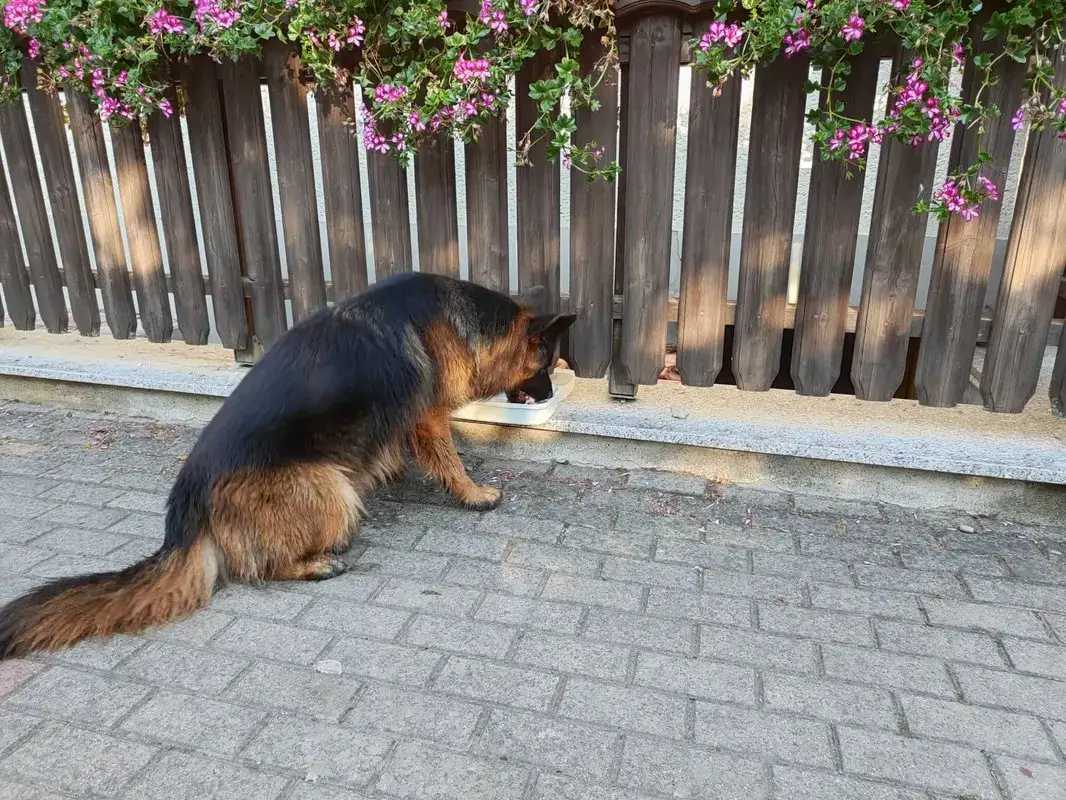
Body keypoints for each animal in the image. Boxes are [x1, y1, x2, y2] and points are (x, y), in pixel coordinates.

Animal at [0, 273, 575, 658]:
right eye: (546, 363)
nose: (550, 392)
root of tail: (188, 503)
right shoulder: (429, 417)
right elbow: (450, 459)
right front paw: (474, 493)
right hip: (331, 489)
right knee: (262, 567)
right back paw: (316, 563)